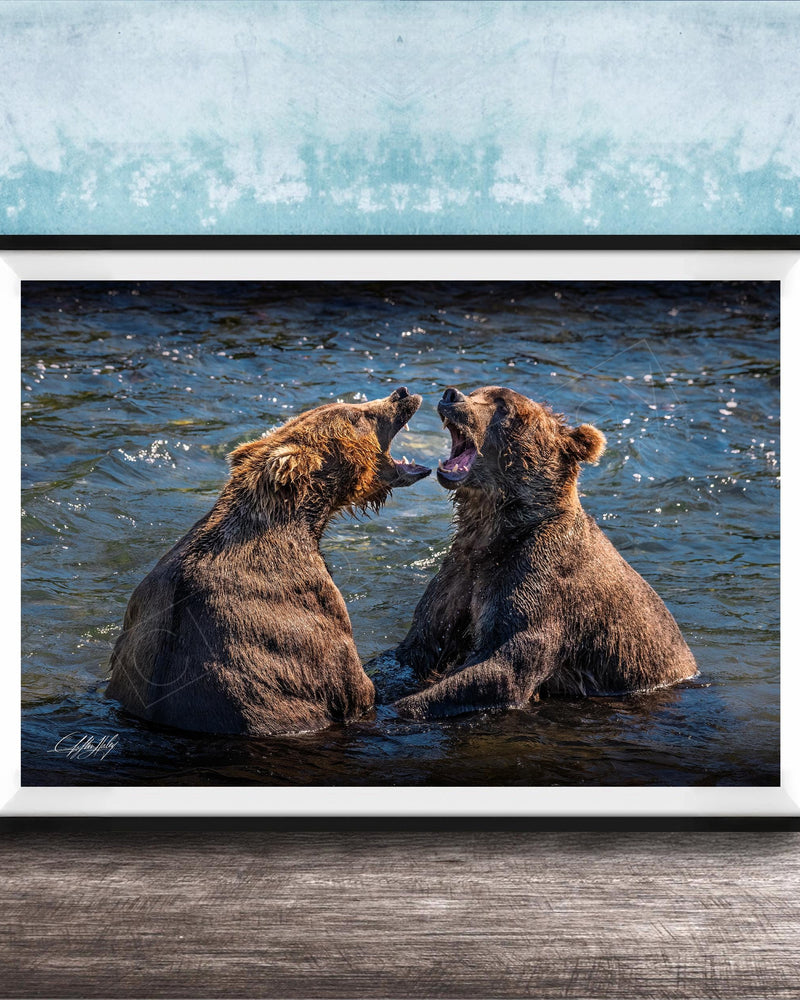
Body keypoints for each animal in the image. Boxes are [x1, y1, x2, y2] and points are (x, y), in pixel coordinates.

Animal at [390, 385, 698, 720]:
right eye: (477, 392)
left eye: (505, 408)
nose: (451, 395)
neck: (494, 533)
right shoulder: (458, 574)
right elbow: (417, 646)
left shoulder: (540, 584)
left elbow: (504, 667)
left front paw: (402, 707)